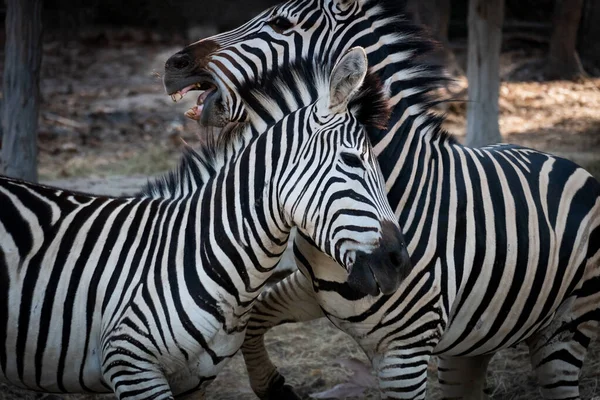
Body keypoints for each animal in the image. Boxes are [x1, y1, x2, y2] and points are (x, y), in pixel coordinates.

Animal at [162, 0, 600, 398]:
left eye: (282, 23)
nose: (172, 65)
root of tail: (565, 162)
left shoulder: (404, 355)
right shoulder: (309, 292)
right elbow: (254, 320)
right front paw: (272, 386)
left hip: (563, 333)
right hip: (471, 345)